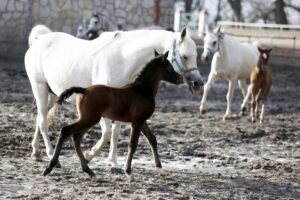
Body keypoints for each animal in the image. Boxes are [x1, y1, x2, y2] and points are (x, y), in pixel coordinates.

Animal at [25, 25, 204, 166]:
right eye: (185, 56)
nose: (198, 83)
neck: (122, 59)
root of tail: (38, 40)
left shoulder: (120, 107)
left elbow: (115, 133)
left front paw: (114, 162)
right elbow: (107, 133)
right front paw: (90, 155)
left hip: (52, 95)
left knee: (40, 118)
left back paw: (36, 152)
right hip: (39, 88)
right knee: (43, 121)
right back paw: (49, 154)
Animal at [42, 50, 183, 181]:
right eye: (169, 67)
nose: (180, 79)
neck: (141, 91)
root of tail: (84, 90)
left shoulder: (142, 121)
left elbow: (152, 139)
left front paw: (161, 171)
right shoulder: (137, 121)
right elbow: (133, 144)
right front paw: (129, 173)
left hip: (88, 119)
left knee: (76, 137)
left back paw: (89, 171)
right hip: (90, 118)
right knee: (66, 131)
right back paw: (50, 167)